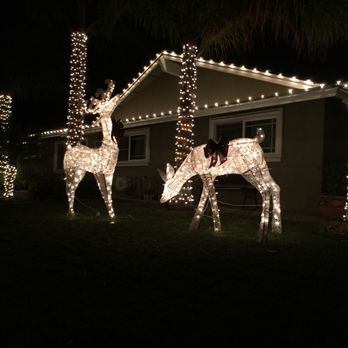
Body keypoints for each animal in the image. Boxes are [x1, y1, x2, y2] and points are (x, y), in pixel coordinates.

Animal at [63, 79, 124, 223]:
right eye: (105, 102)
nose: (118, 94)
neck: (108, 146)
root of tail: (68, 148)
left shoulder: (109, 172)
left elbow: (107, 195)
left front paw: (113, 217)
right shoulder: (101, 172)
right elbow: (106, 194)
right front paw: (112, 218)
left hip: (80, 171)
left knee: (72, 189)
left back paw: (72, 213)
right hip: (69, 170)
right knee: (68, 188)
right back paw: (71, 214)